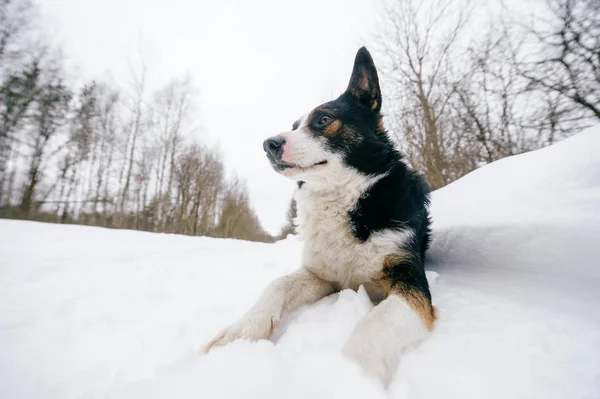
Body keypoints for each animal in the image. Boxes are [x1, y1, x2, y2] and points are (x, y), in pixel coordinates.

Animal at [204, 47, 434, 388]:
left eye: (323, 119)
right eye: (294, 125)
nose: (268, 144)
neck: (343, 197)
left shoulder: (411, 282)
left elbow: (373, 325)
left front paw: (352, 376)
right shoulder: (322, 276)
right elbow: (277, 284)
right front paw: (241, 331)